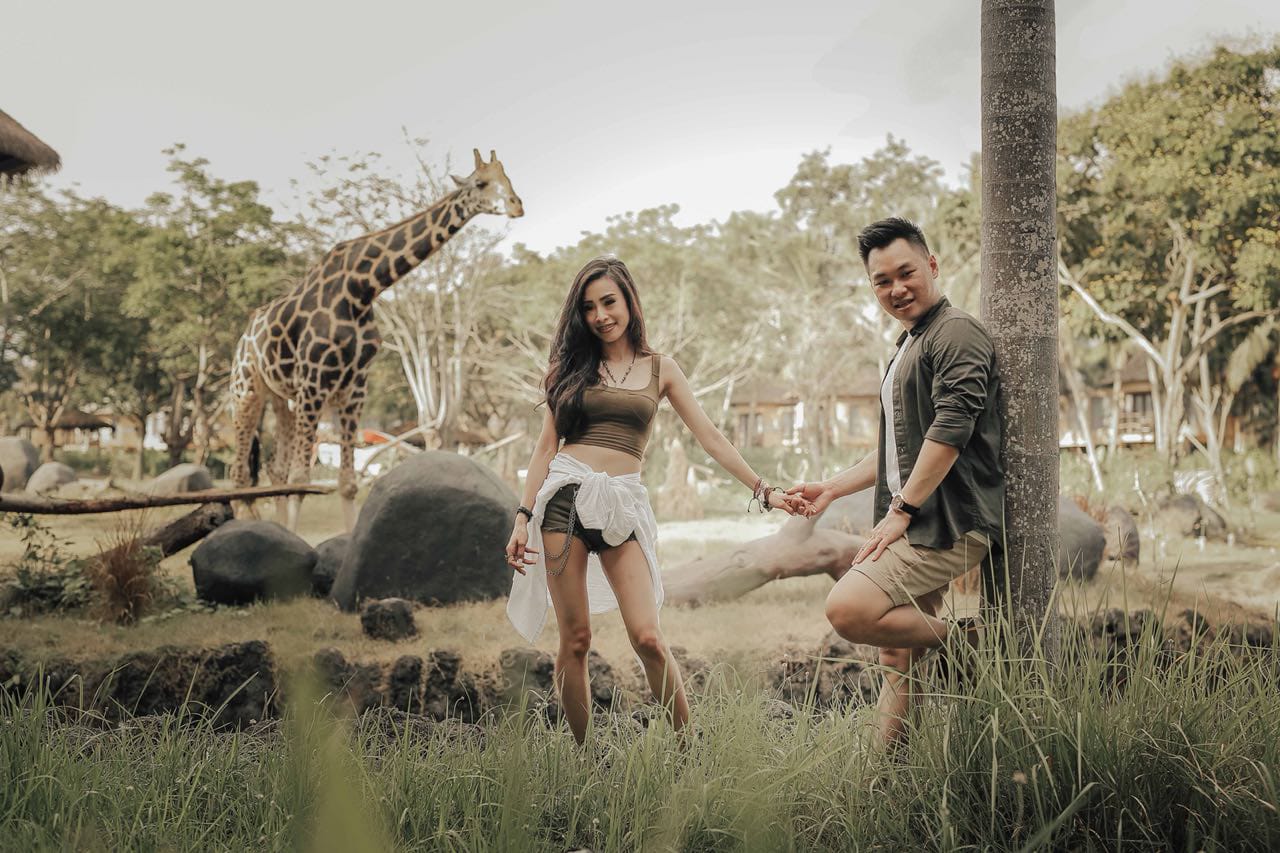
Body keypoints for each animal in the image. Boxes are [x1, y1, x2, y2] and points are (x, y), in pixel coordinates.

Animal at [229, 149, 523, 531]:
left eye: (508, 179)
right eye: (481, 183)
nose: (517, 205)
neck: (362, 289)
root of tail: (241, 340)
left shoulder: (354, 388)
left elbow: (346, 482)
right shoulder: (314, 384)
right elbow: (302, 480)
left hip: (282, 399)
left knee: (274, 471)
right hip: (247, 391)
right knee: (239, 475)